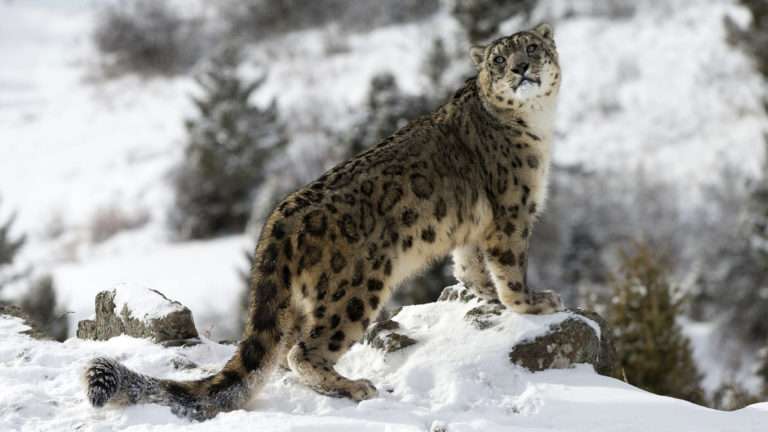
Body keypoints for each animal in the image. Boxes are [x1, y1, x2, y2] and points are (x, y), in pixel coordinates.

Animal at [84, 23, 562, 421]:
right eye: (499, 60)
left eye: (532, 48)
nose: (521, 69)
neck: (537, 126)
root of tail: (278, 219)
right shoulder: (511, 214)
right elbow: (509, 267)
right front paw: (533, 303)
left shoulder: (473, 228)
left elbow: (470, 265)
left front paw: (485, 296)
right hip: (355, 289)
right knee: (304, 351)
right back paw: (354, 387)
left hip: (301, 302)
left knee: (281, 352)